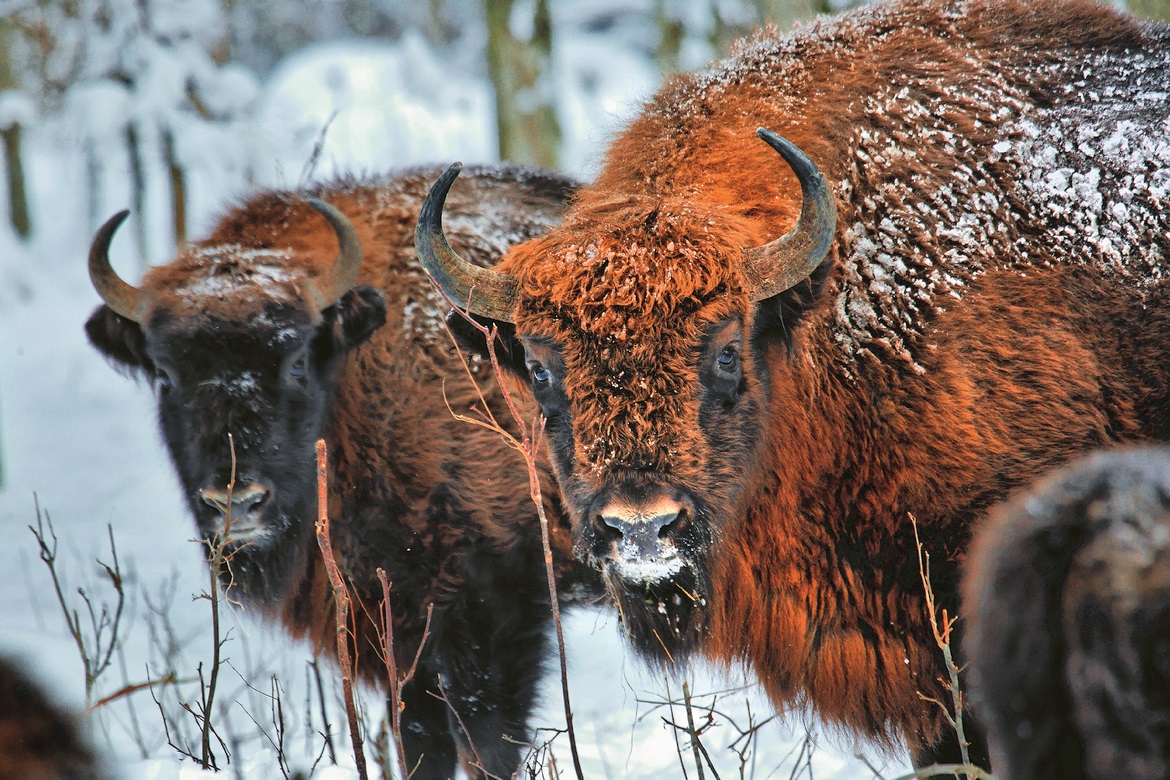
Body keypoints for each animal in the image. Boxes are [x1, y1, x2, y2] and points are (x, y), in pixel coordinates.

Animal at [83, 161, 599, 776]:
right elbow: (419, 739)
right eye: (164, 373)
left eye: (297, 359)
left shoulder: (490, 609)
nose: (236, 503)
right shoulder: (397, 631)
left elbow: (486, 742)